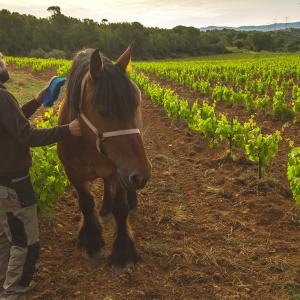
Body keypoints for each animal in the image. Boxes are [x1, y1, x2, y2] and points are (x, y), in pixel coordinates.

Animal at [57, 46, 151, 270]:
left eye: (135, 103)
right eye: (103, 111)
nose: (141, 175)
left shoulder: (119, 171)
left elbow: (121, 209)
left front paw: (123, 252)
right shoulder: (73, 173)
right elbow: (86, 203)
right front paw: (91, 241)